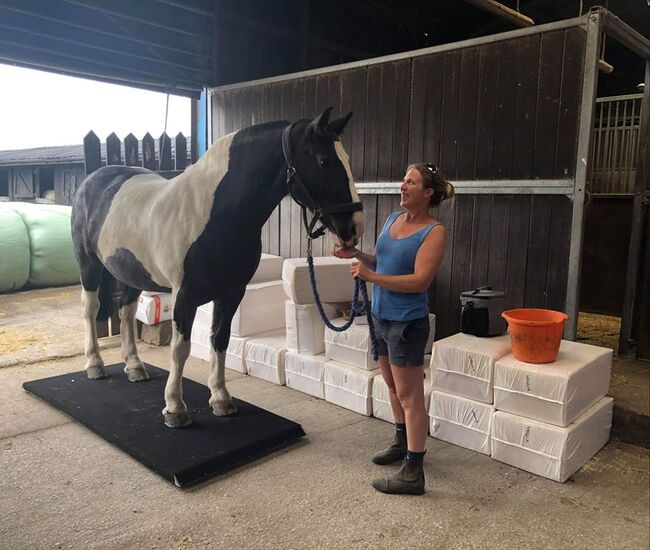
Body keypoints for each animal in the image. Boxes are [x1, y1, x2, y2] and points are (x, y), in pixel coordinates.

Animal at [73, 105, 362, 430]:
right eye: (324, 160)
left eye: (346, 160)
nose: (353, 229)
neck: (216, 213)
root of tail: (94, 179)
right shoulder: (184, 295)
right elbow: (180, 349)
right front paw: (175, 408)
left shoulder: (232, 293)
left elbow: (220, 341)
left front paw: (221, 399)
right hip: (88, 265)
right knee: (89, 308)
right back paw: (94, 364)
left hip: (133, 273)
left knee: (126, 312)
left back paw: (134, 366)